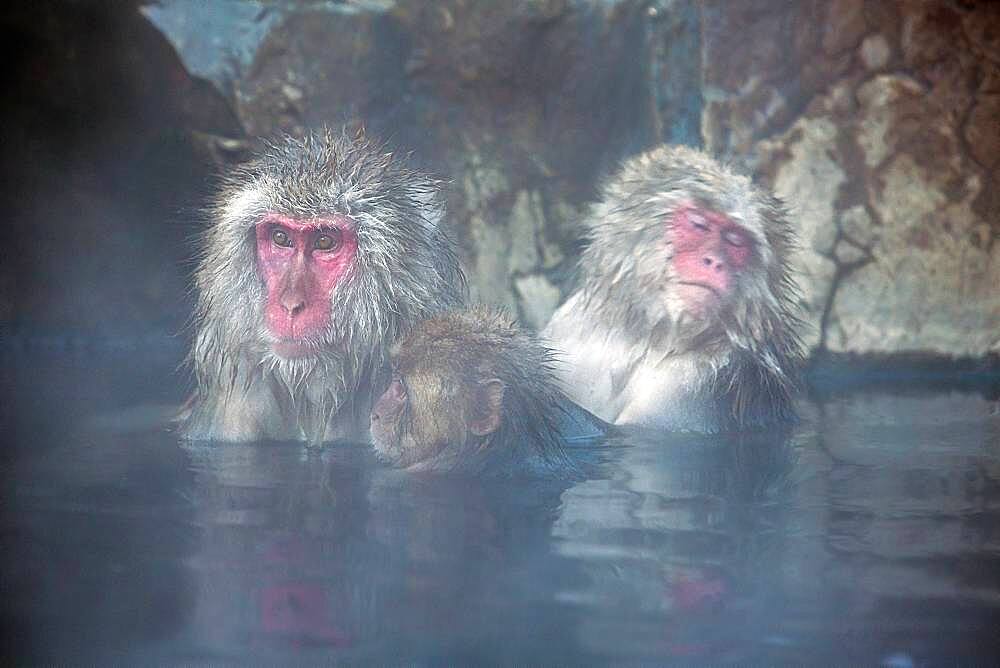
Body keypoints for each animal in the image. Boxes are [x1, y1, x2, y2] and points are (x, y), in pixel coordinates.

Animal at [544, 146, 800, 434]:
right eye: (698, 223)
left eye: (736, 241)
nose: (714, 261)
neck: (645, 338)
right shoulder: (566, 325)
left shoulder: (702, 382)